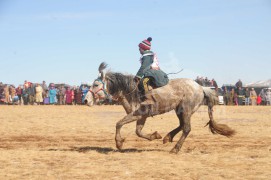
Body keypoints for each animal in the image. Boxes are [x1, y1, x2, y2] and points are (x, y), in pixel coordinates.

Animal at [92, 62, 236, 154]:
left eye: (95, 84)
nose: (88, 100)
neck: (132, 91)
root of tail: (201, 87)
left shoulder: (138, 114)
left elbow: (119, 123)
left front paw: (118, 143)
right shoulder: (142, 117)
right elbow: (138, 131)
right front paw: (154, 136)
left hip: (186, 109)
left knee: (186, 128)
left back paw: (175, 149)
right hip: (179, 110)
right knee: (182, 125)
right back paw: (168, 137)